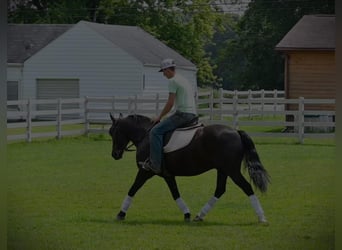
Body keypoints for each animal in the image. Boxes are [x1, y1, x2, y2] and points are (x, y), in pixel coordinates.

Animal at [109, 113, 270, 223]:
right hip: (223, 170)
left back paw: (262, 217)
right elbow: (175, 193)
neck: (145, 135)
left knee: (247, 187)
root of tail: (235, 131)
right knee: (220, 190)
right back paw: (200, 215)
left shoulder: (145, 171)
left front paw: (120, 214)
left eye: (113, 132)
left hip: (232, 171)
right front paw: (187, 214)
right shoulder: (168, 175)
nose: (115, 154)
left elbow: (133, 189)